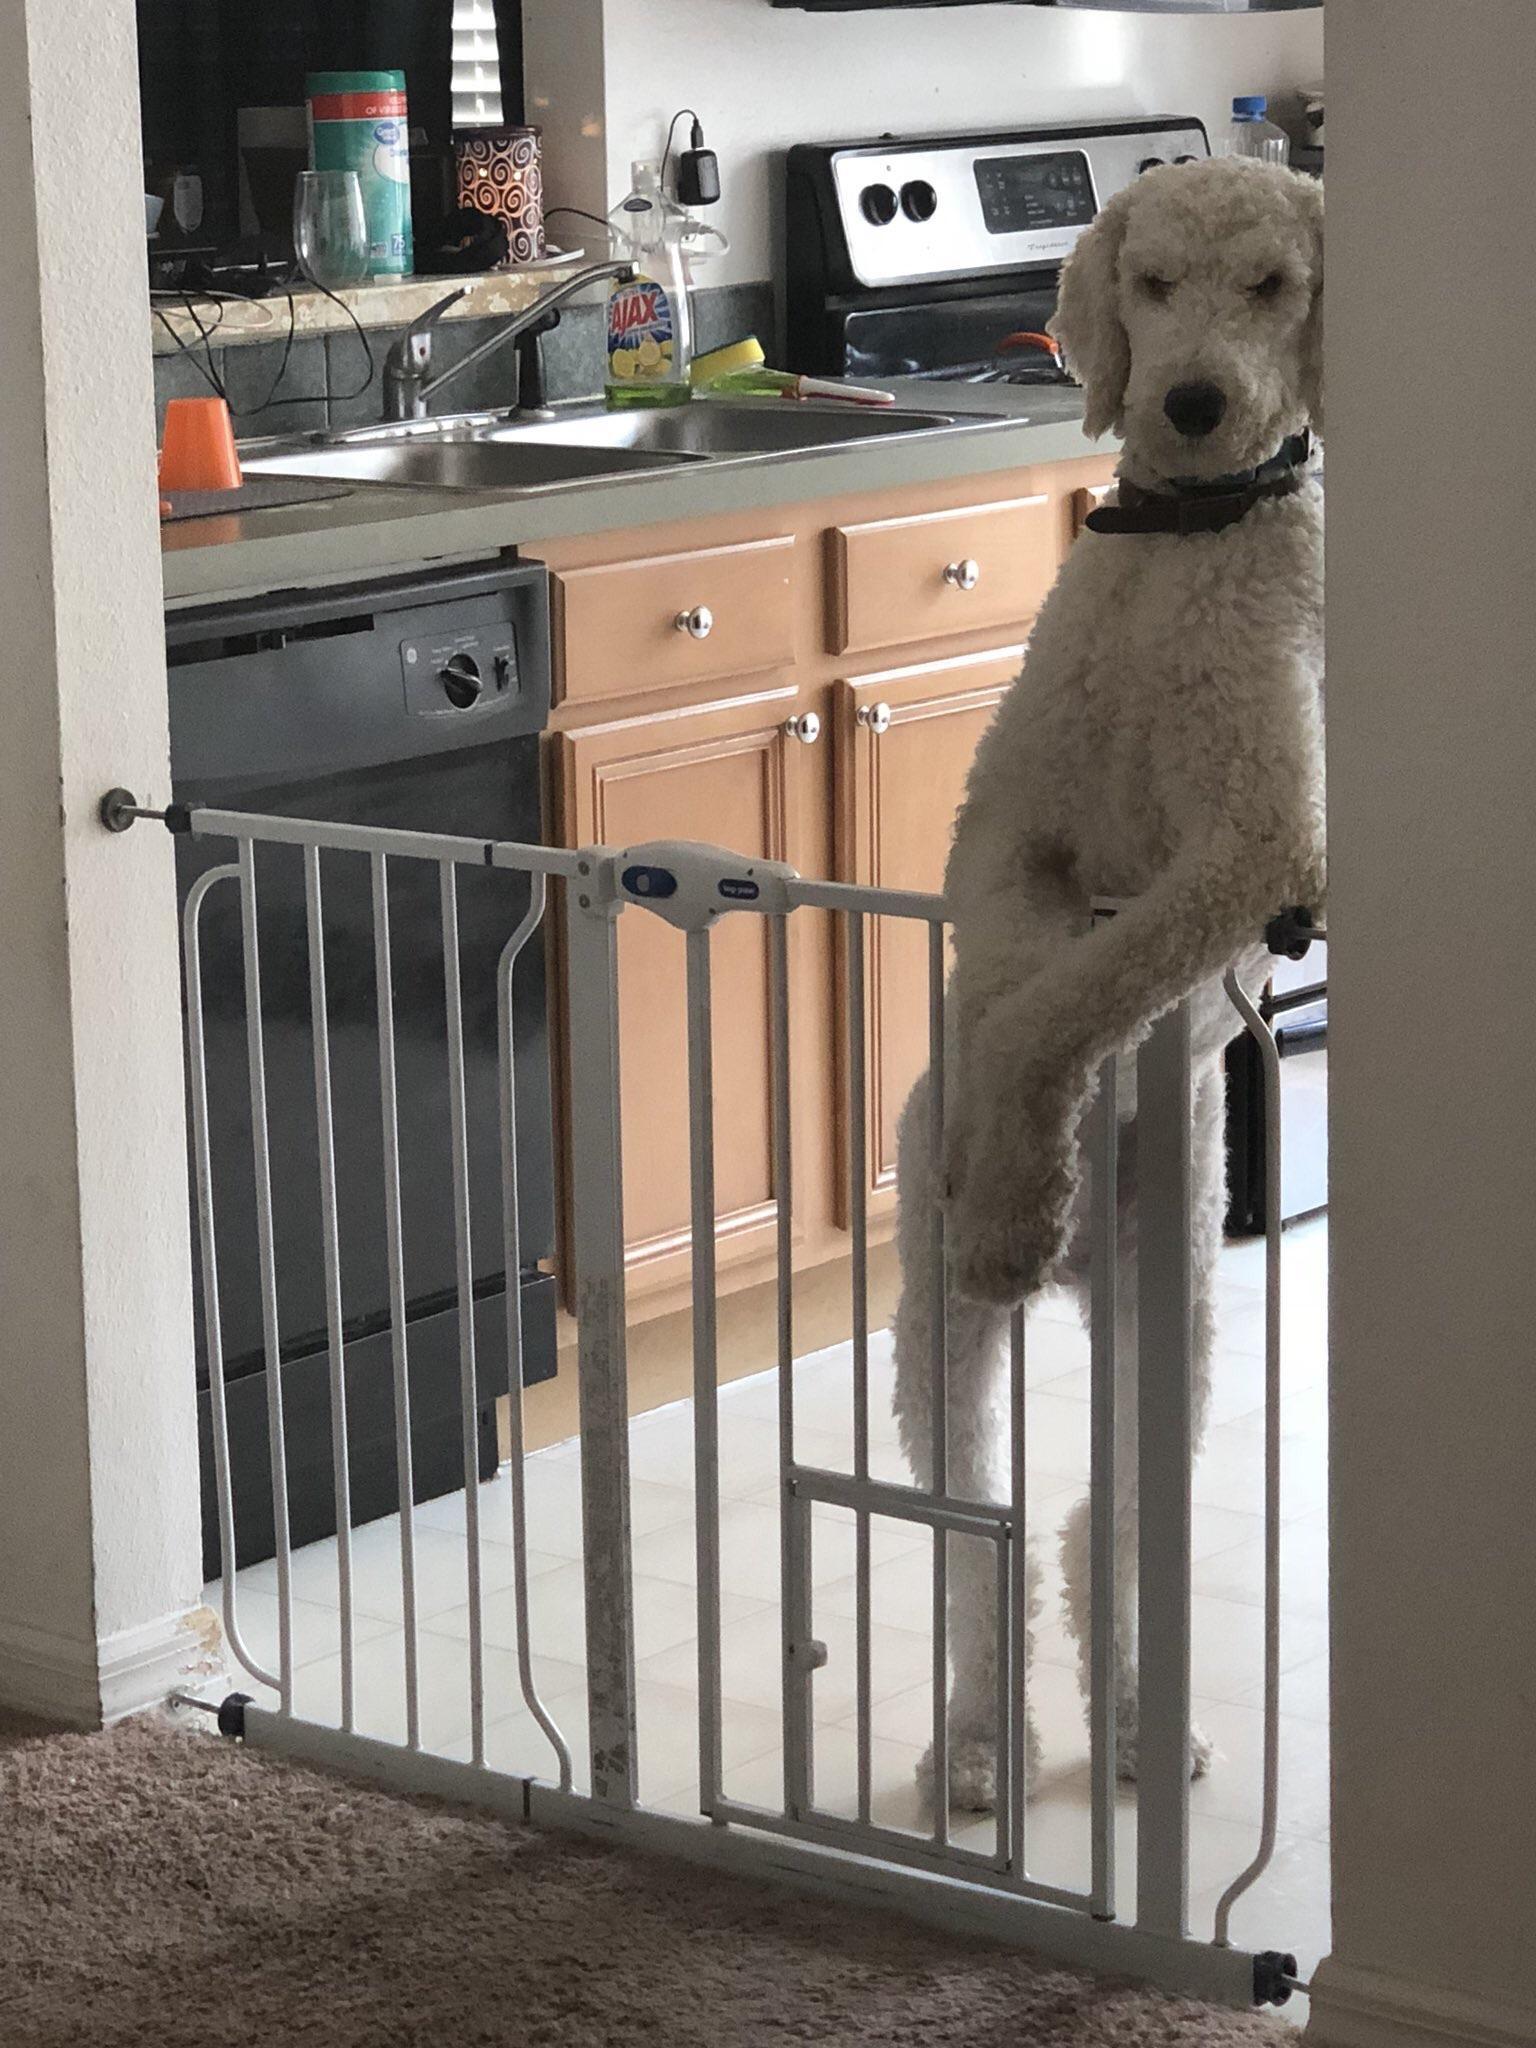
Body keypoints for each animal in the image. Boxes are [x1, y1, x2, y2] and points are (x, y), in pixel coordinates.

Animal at [897, 159, 1327, 1810]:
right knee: (974, 1544)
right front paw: (1011, 1177)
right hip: (934, 1341)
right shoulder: (1005, 830)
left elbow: (1067, 998)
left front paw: (1028, 1184)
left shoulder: (1253, 847)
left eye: (1274, 284)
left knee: (1100, 1526)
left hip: (1177, 1317)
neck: (1188, 547)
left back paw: (1139, 1719)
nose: (1196, 406)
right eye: (1149, 282)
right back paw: (975, 1743)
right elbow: (1018, 982)